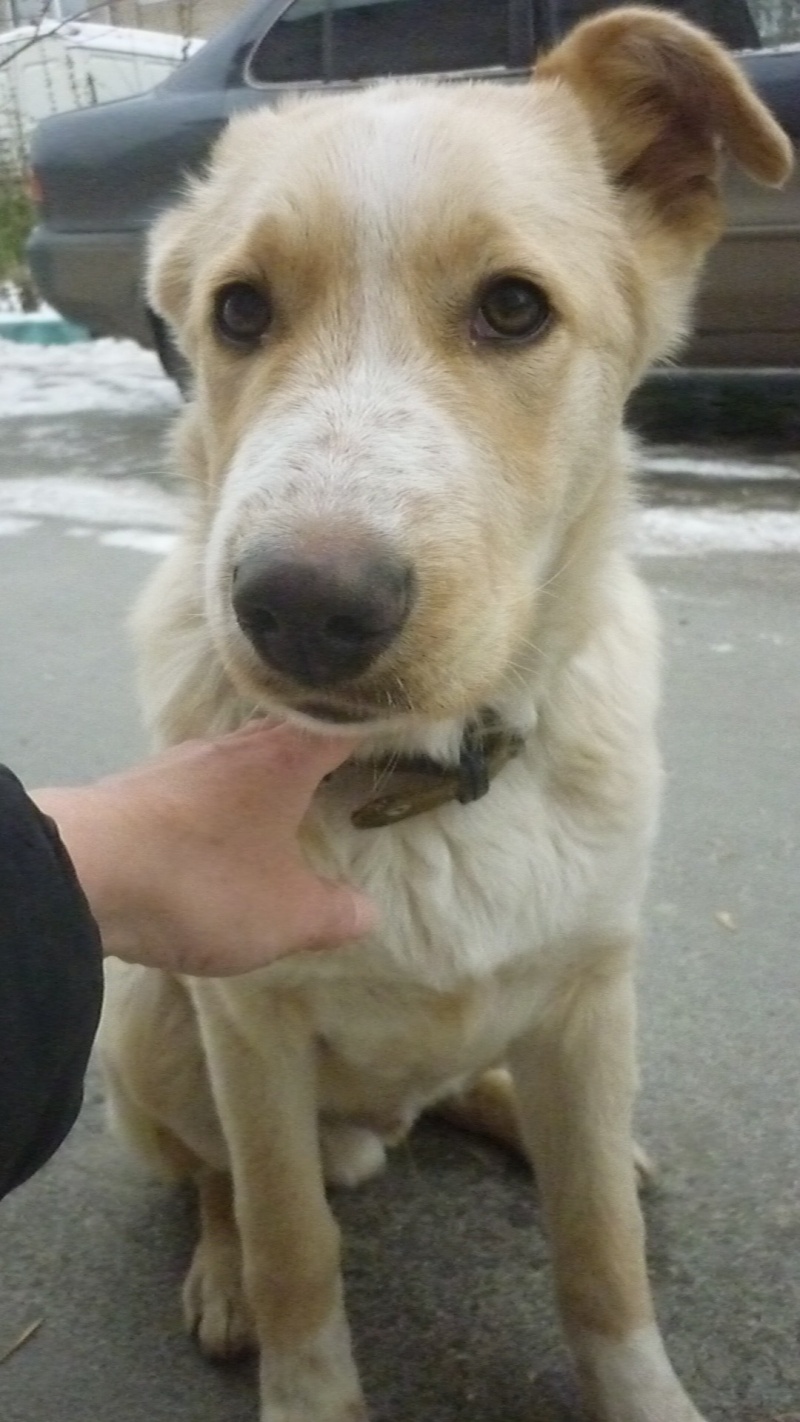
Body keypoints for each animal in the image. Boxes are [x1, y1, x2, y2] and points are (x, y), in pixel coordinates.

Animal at [98, 10, 791, 1420]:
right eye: (237, 311)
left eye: (513, 308)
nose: (303, 609)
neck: (421, 783)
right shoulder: (247, 1025)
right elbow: (293, 1237)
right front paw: (300, 1375)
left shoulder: (592, 986)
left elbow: (599, 1257)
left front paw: (639, 1383)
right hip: (143, 1017)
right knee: (215, 1178)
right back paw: (221, 1274)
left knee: (478, 1091)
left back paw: (554, 1131)